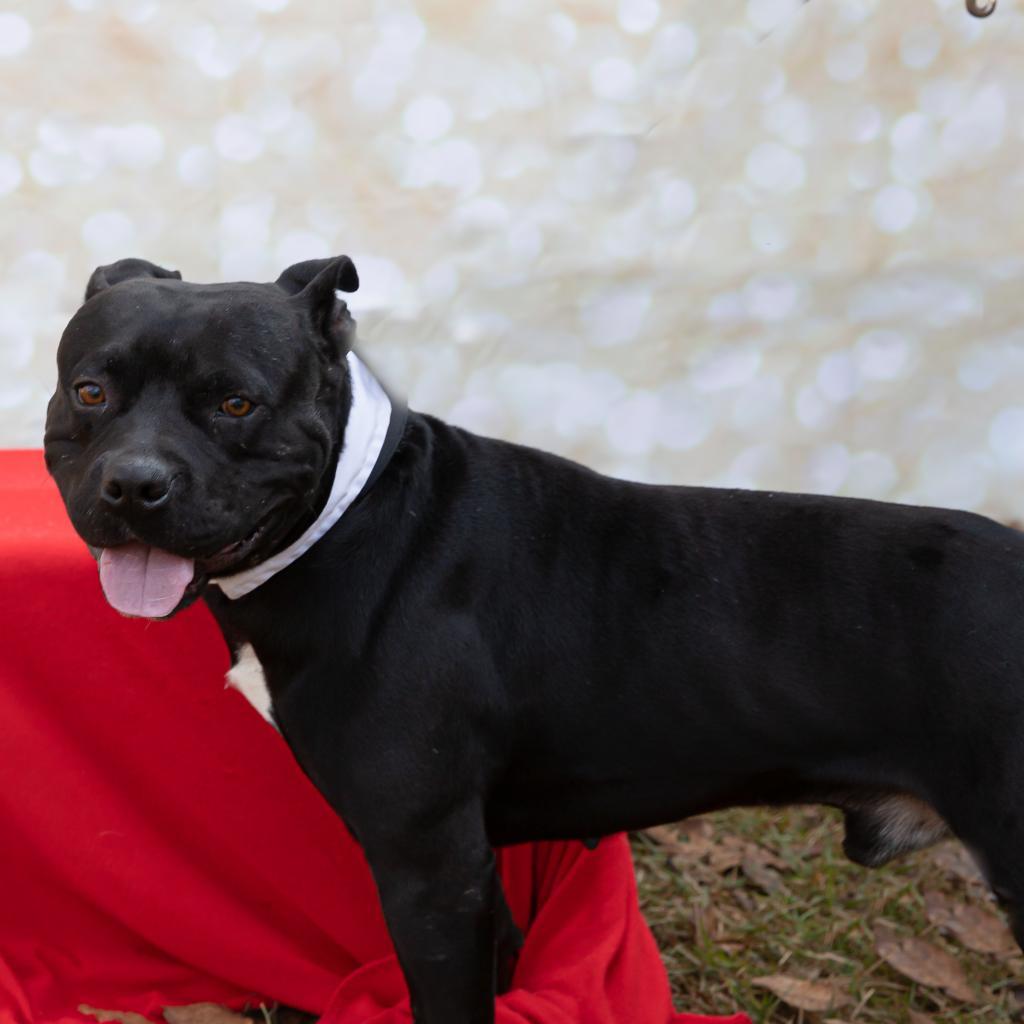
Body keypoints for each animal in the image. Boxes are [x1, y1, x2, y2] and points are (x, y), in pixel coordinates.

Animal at [46, 258, 1024, 1024]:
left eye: (236, 403)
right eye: (91, 391)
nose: (134, 484)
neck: (348, 520)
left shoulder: (429, 867)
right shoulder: (465, 871)